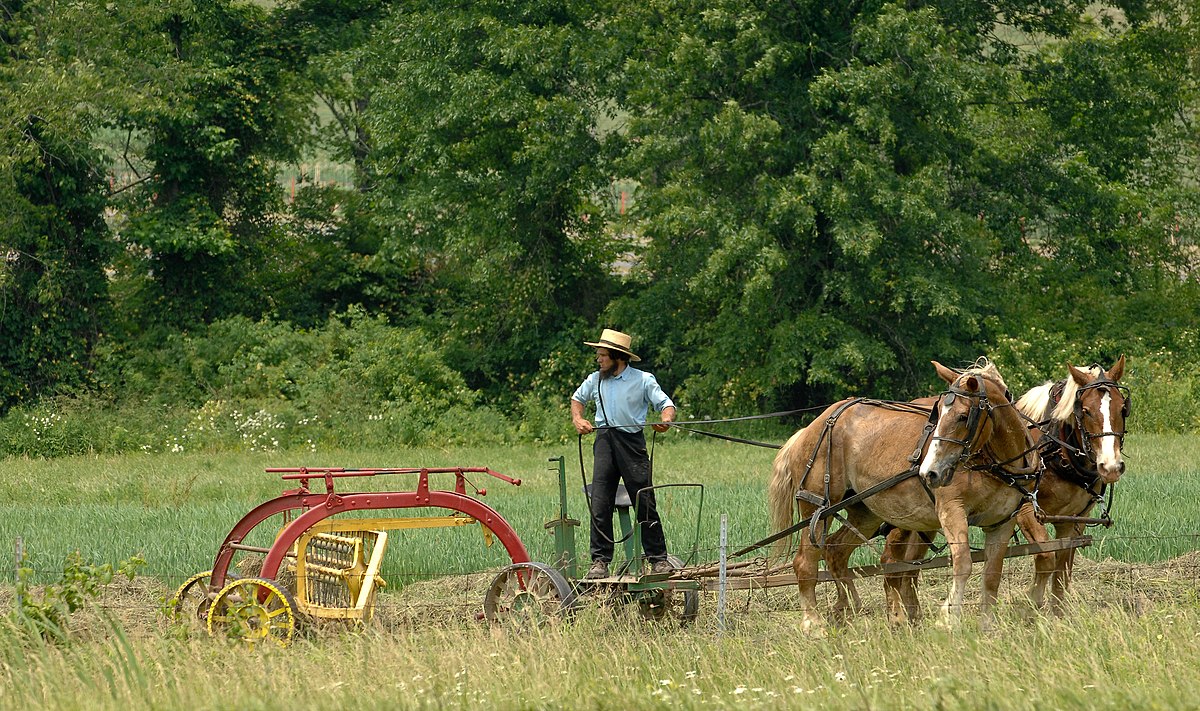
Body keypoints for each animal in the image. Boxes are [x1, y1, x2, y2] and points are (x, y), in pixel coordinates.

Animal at [768, 357, 1041, 629]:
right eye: (938, 413)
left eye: (963, 416)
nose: (930, 472)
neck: (996, 463)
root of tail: (811, 427)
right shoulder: (951, 509)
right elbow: (963, 562)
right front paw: (948, 619)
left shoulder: (1002, 521)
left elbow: (992, 574)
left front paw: (986, 626)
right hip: (816, 506)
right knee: (805, 562)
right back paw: (813, 624)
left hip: (865, 511)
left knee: (836, 550)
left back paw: (846, 608)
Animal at [883, 355, 1123, 624]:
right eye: (1085, 410)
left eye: (1122, 408)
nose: (1111, 467)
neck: (1053, 449)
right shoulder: (1027, 510)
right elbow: (1046, 557)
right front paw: (1028, 607)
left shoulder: (1075, 518)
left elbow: (1062, 569)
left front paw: (1058, 617)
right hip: (902, 515)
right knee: (891, 562)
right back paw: (898, 618)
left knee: (911, 565)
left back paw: (913, 616)